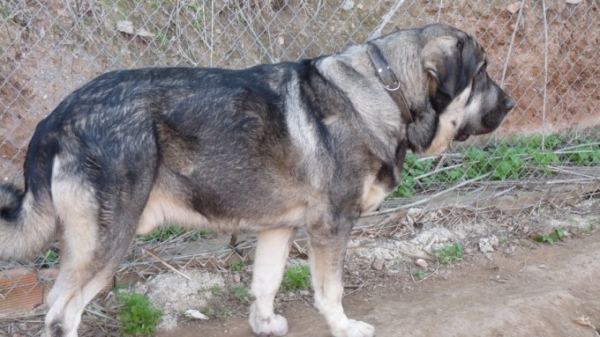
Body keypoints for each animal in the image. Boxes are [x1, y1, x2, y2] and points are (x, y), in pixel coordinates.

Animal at [1, 24, 516, 336]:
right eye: (483, 71)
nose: (511, 105)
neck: (386, 91)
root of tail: (56, 118)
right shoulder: (330, 226)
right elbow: (331, 290)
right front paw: (343, 326)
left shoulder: (278, 229)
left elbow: (266, 283)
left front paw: (264, 323)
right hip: (108, 242)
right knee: (61, 313)